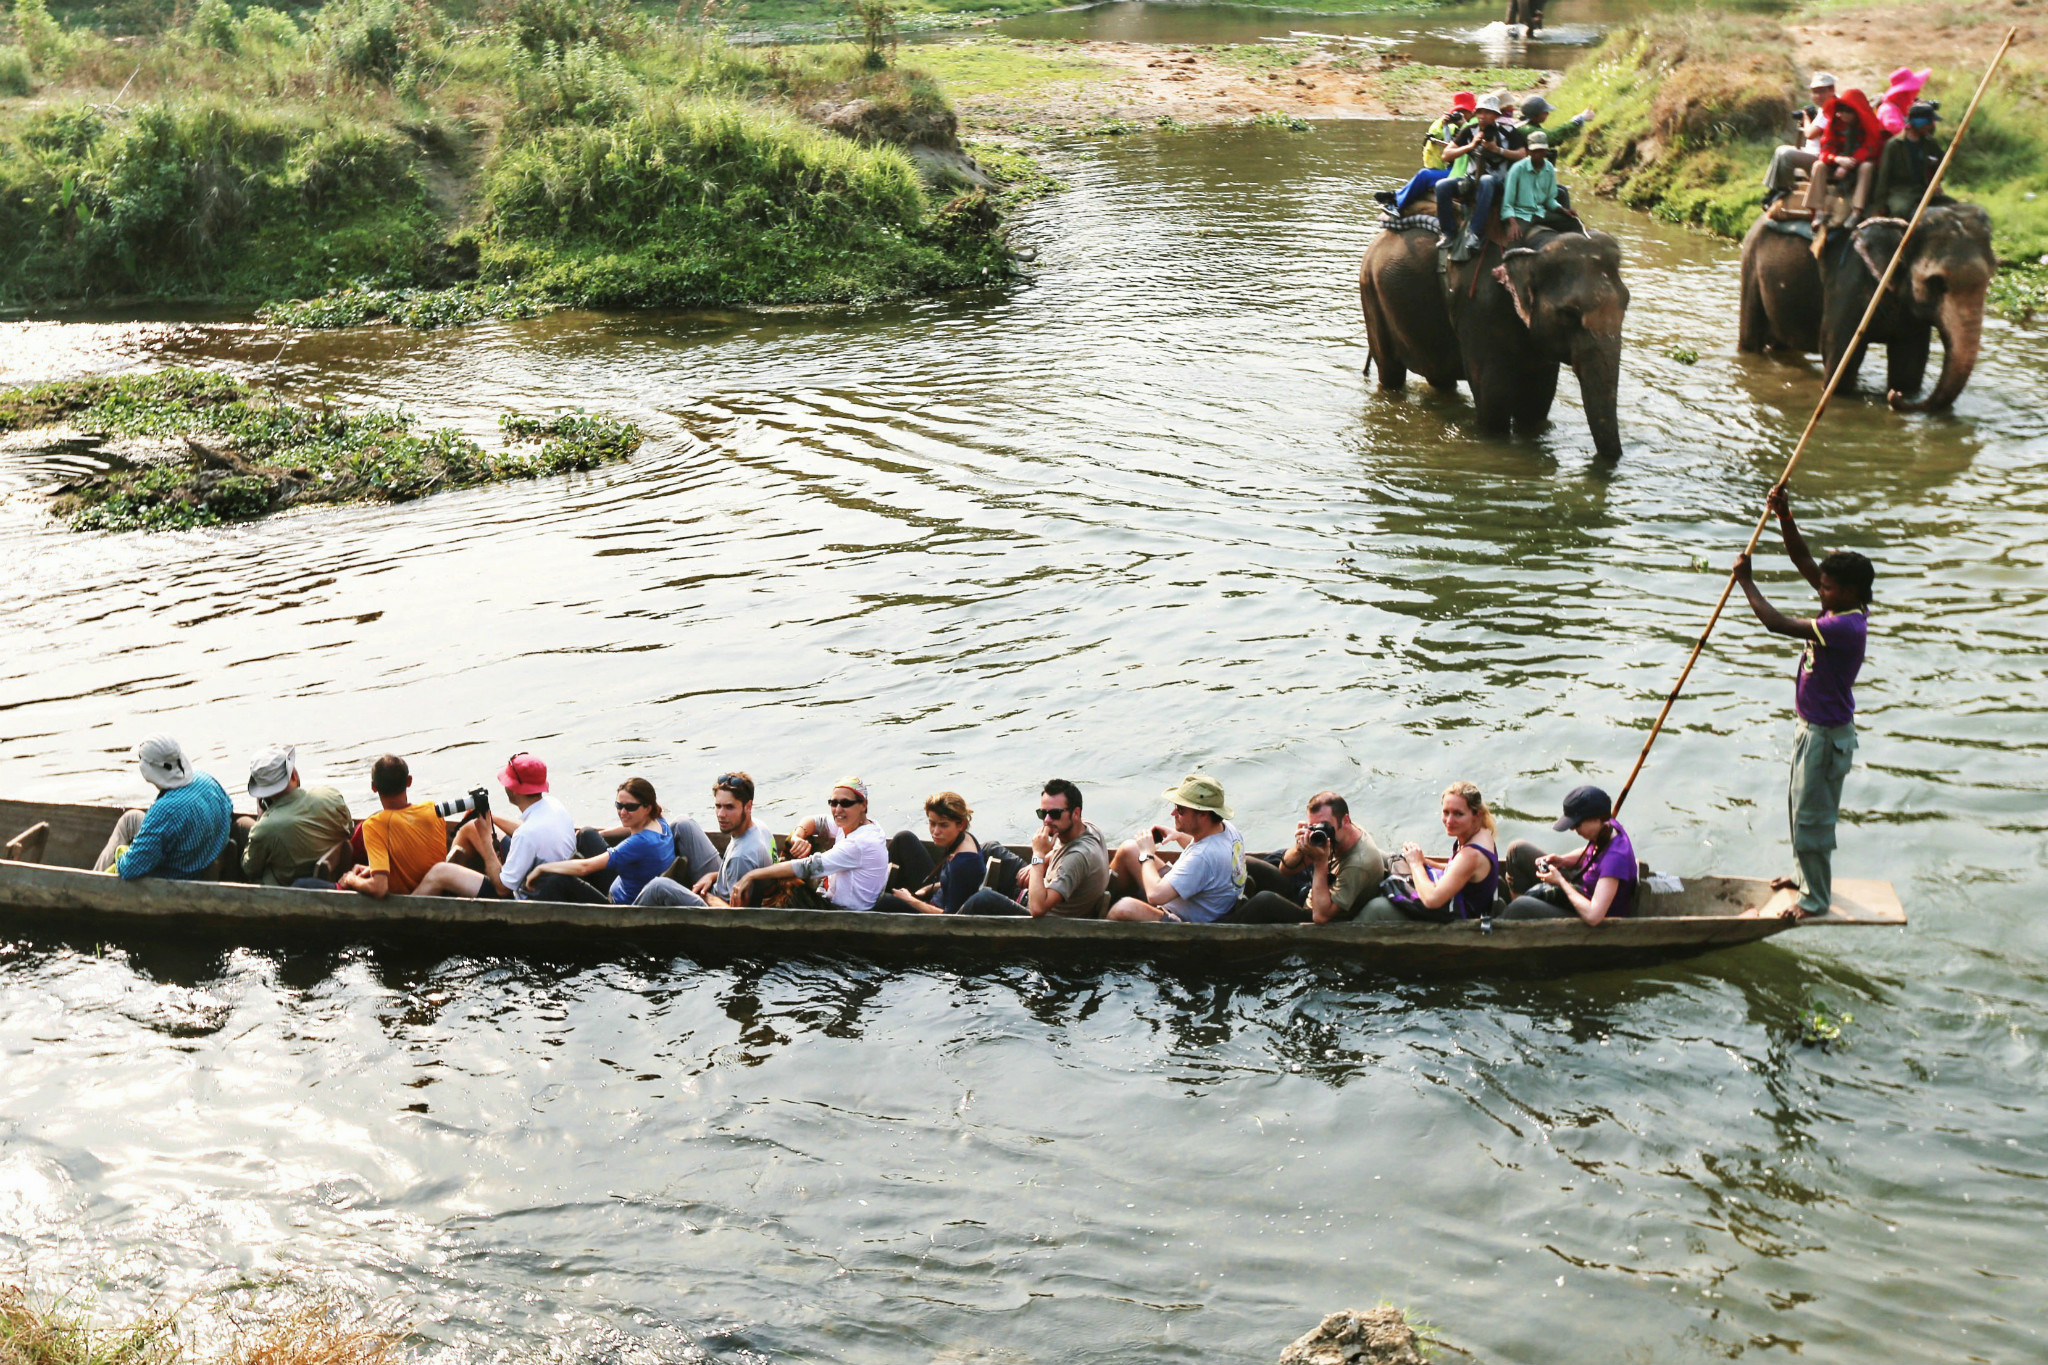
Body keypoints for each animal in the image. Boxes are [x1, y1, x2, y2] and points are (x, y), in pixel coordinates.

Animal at [1441, 225, 1630, 458]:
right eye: (1569, 314)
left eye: (1627, 303)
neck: (1537, 241)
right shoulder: (1479, 309)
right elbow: (1493, 406)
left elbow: (1535, 406)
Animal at [1736, 200, 1990, 409]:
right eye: (1937, 282)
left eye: (1991, 275)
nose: (1894, 397)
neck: (1905, 222)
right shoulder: (1847, 282)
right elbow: (1839, 360)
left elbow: (1910, 365)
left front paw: (1902, 390)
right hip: (1750, 262)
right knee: (1751, 337)